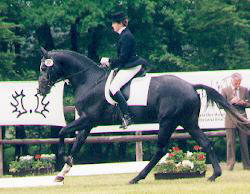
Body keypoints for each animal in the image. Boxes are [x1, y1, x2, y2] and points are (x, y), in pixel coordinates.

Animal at [38, 47, 249, 184]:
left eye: (44, 68)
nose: (40, 89)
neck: (88, 80)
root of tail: (190, 85)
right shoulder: (87, 123)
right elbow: (77, 144)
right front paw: (63, 172)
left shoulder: (88, 119)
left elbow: (62, 132)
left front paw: (62, 157)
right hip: (187, 121)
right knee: (205, 142)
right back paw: (215, 175)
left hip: (167, 122)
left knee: (160, 150)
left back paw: (136, 178)